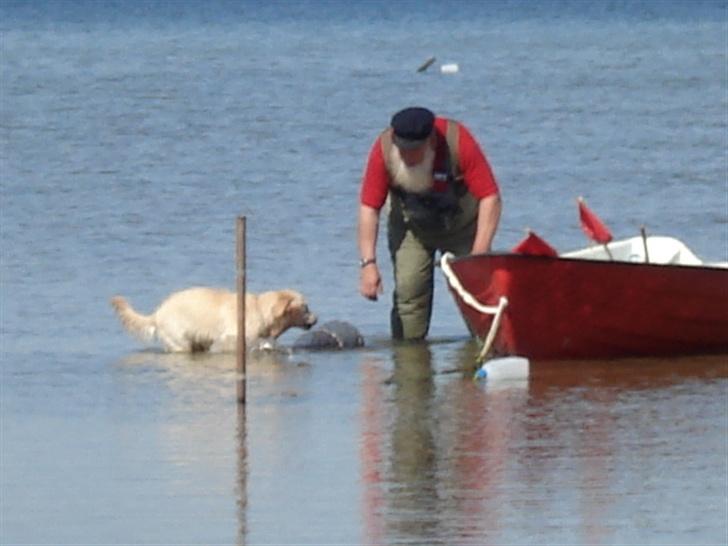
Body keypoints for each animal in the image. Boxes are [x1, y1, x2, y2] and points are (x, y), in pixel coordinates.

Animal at [111, 284, 316, 352]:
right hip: (179, 340)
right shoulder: (233, 336)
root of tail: (157, 313)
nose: (316, 319)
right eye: (306, 307)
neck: (260, 310)